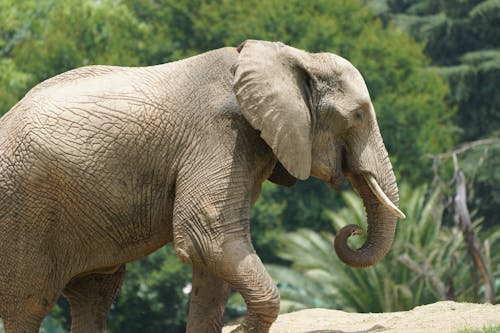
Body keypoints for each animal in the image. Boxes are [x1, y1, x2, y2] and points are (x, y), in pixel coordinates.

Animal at [0, 39, 406, 332]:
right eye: (358, 115)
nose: (351, 231)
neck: (291, 57)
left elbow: (213, 257)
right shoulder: (220, 134)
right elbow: (208, 236)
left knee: (95, 293)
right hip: (24, 211)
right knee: (29, 303)